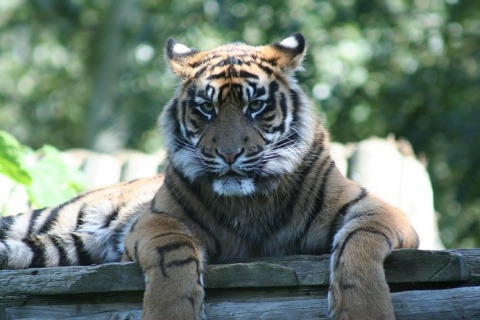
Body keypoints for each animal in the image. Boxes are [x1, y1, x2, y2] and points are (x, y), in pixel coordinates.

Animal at [0, 33, 418, 318]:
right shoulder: (158, 220)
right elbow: (173, 257)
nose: (229, 154)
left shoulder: (376, 209)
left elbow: (359, 246)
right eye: (206, 108)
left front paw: (364, 310)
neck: (251, 200)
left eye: (256, 106)